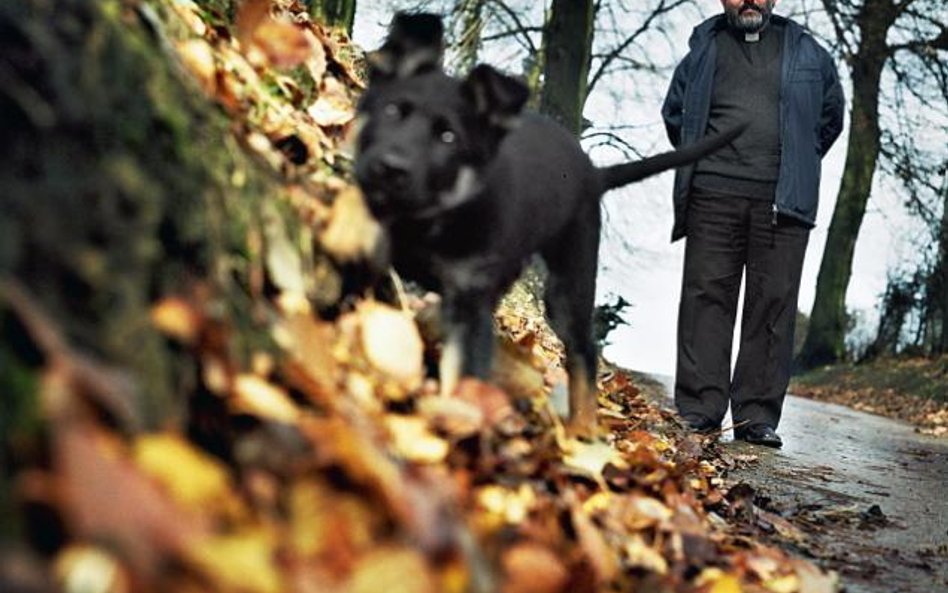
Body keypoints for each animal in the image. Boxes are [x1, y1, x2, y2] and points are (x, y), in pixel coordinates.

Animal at [356, 12, 740, 434]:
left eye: (448, 137)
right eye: (392, 111)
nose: (390, 168)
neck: (431, 220)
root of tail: (592, 173)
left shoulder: (470, 308)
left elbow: (463, 378)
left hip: (568, 285)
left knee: (585, 351)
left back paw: (582, 430)